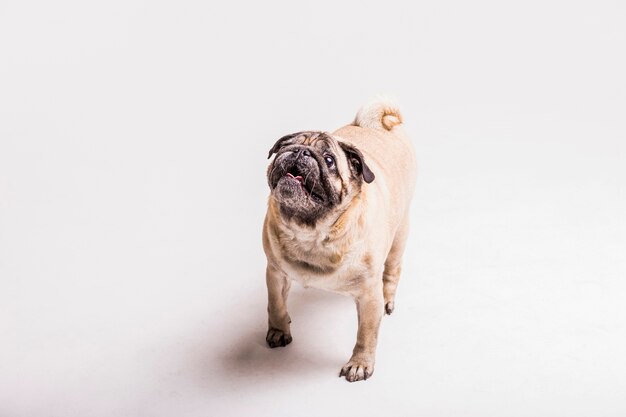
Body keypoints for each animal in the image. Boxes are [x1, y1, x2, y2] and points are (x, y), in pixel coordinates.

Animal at [262, 97, 414, 380]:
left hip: (400, 234)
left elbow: (366, 334)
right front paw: (278, 330)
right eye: (285, 148)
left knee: (392, 271)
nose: (301, 152)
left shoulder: (368, 296)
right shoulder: (275, 273)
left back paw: (389, 298)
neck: (312, 233)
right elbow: (275, 304)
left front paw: (360, 363)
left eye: (329, 160)